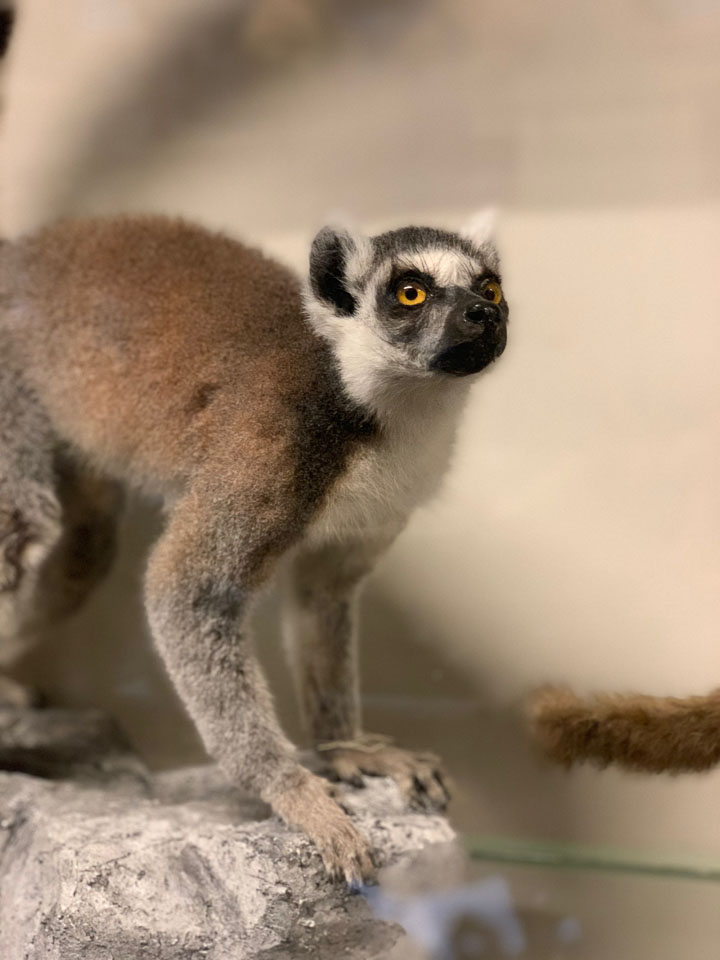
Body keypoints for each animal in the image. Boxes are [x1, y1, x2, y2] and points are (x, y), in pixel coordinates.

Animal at [0, 210, 509, 883]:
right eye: (410, 293)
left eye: (490, 287)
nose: (485, 315)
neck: (379, 409)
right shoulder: (274, 447)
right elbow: (185, 586)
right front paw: (289, 789)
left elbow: (323, 598)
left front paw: (349, 750)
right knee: (22, 527)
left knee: (83, 550)